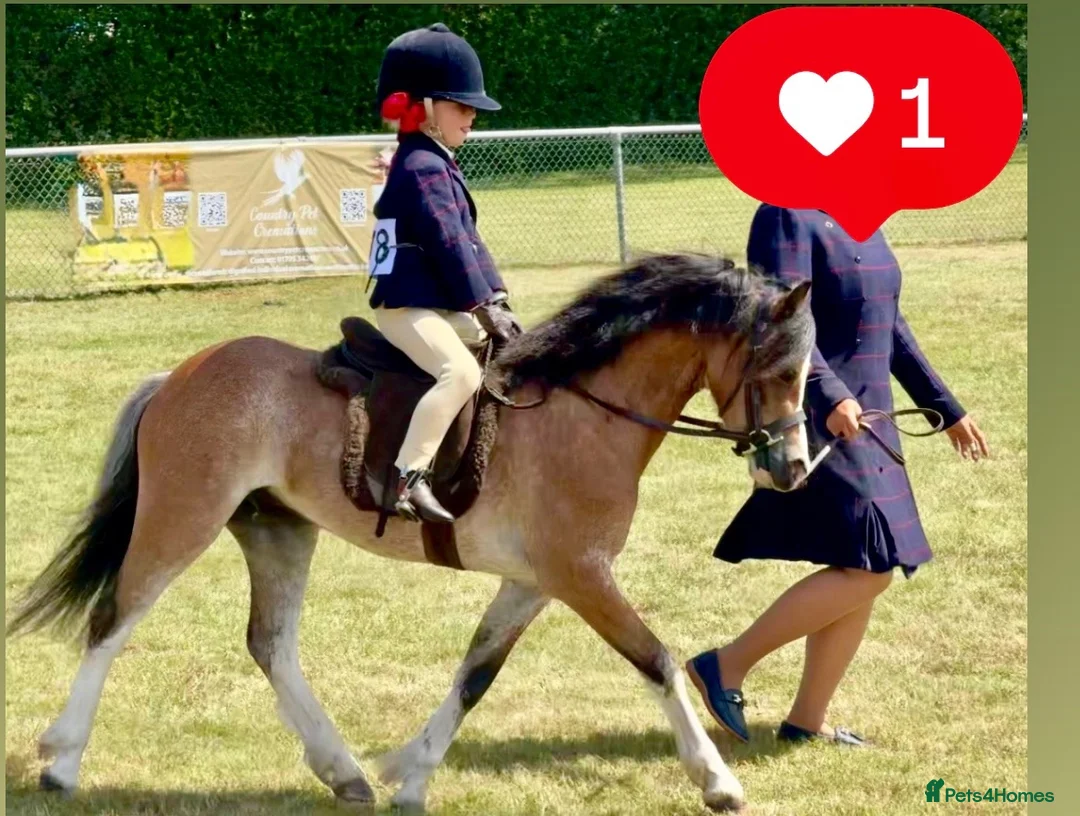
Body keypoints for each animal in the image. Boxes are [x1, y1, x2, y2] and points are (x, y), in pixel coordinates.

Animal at [7, 253, 815, 813]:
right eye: (781, 371)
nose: (795, 468)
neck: (587, 410)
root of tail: (179, 374)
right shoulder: (582, 576)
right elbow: (658, 661)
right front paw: (718, 780)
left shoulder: (532, 583)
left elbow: (475, 675)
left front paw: (410, 775)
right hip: (185, 516)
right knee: (114, 620)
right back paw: (62, 763)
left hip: (277, 531)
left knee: (271, 644)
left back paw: (344, 772)